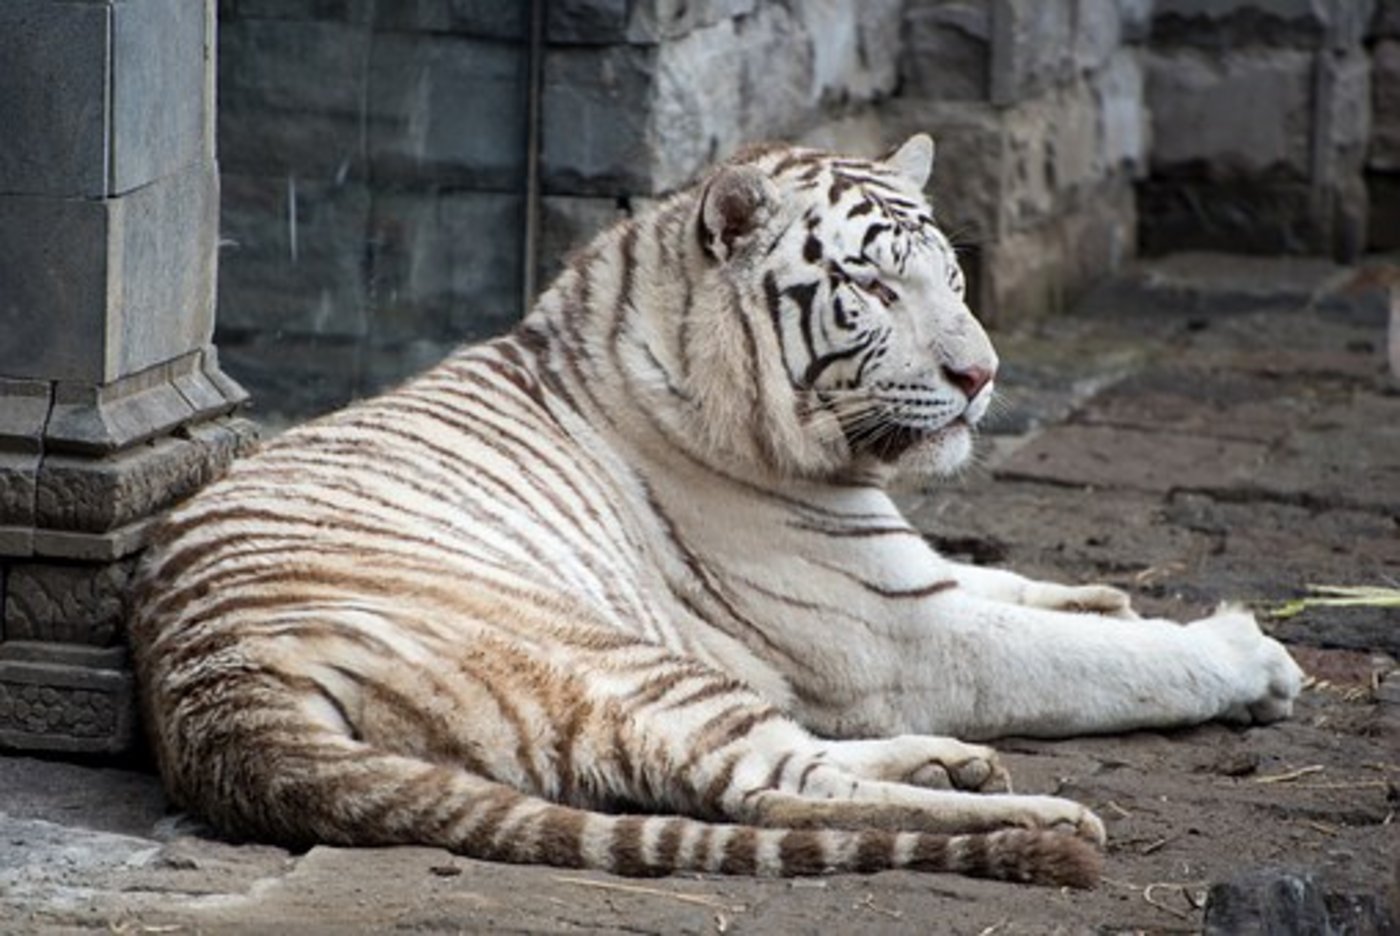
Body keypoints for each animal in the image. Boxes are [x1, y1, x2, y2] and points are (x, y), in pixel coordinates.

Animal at [129, 134, 1303, 889]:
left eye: (954, 278)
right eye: (875, 291)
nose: (980, 376)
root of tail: (219, 700)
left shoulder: (900, 569)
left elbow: (1009, 582)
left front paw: (1105, 597)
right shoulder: (897, 636)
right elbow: (1094, 662)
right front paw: (1243, 656)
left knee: (786, 781)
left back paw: (951, 764)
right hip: (623, 660)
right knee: (770, 793)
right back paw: (1040, 813)